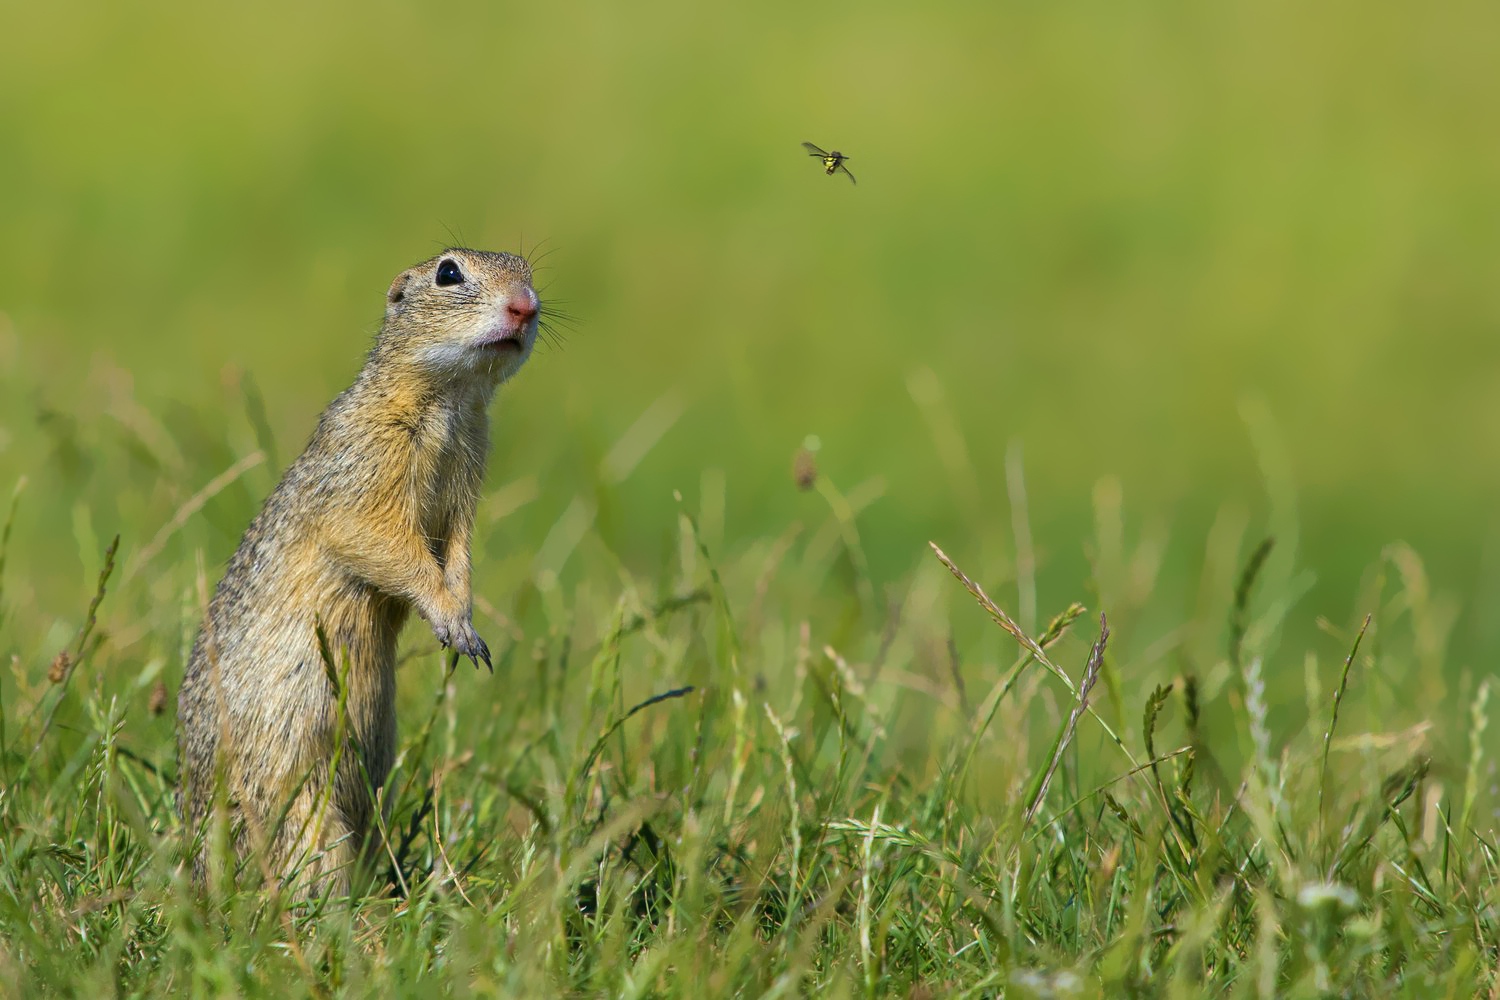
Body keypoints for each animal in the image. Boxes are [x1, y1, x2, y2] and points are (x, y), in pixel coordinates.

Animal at [177, 245, 540, 893]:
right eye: (449, 272)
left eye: (529, 271)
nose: (525, 306)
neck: (451, 403)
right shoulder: (366, 466)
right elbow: (381, 541)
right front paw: (451, 620)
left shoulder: (466, 483)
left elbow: (459, 553)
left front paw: (463, 613)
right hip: (301, 808)